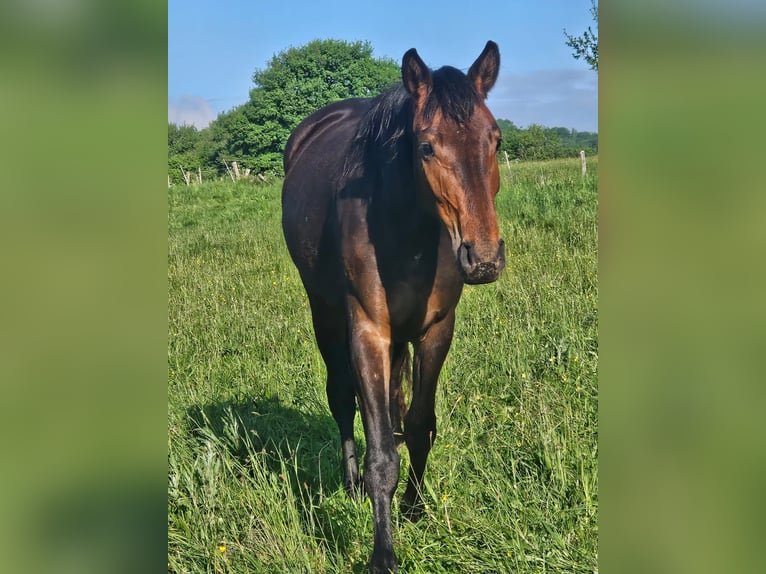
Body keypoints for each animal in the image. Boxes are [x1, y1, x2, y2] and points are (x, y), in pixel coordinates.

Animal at [281, 41, 505, 573]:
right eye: (426, 147)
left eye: (496, 140)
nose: (484, 257)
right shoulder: (369, 330)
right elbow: (380, 451)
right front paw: (382, 552)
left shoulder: (435, 329)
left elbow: (420, 426)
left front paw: (414, 509)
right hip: (325, 314)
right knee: (343, 398)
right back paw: (350, 484)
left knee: (395, 405)